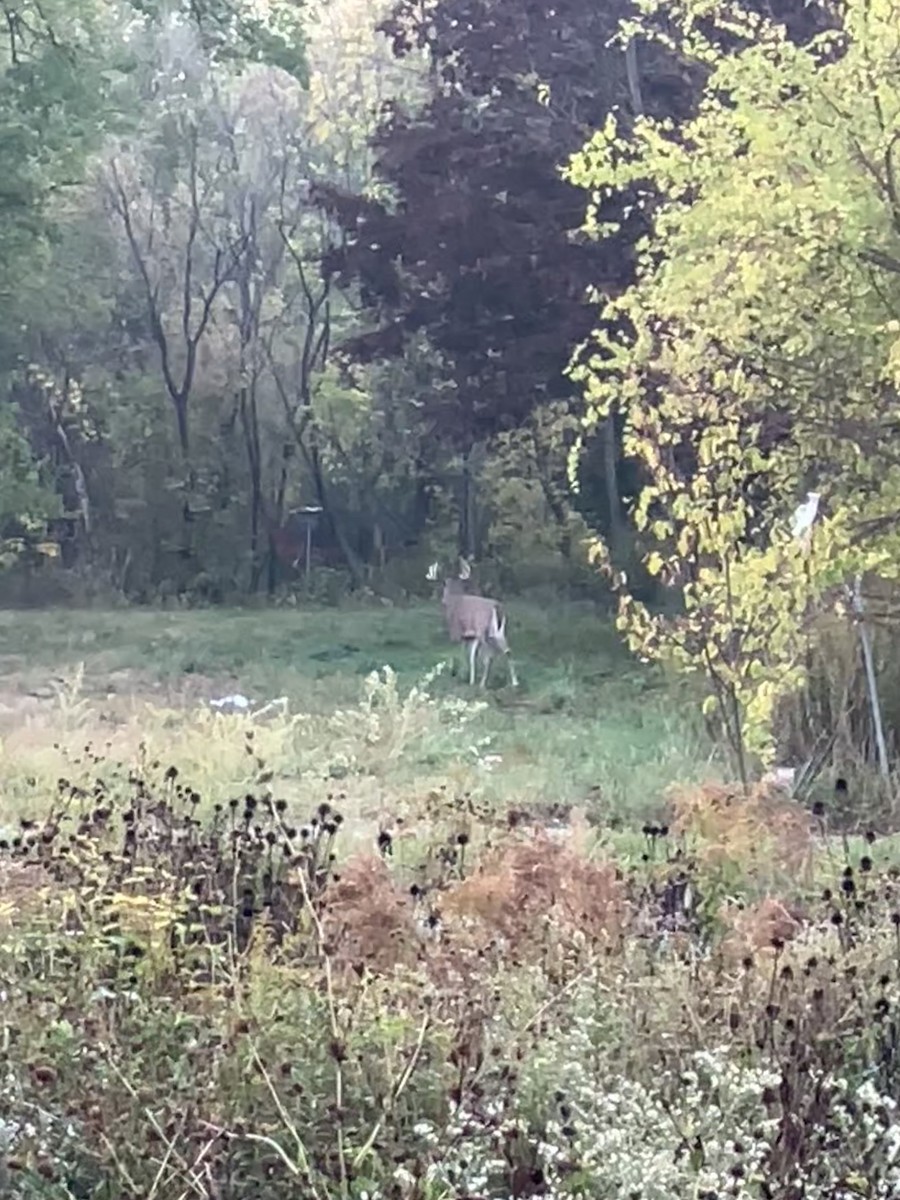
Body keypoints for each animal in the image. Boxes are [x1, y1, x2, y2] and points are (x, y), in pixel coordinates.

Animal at [426, 557, 519, 688]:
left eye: (444, 586)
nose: (442, 600)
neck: (453, 599)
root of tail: (496, 606)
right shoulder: (471, 636)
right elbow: (472, 658)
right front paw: (470, 681)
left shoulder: (457, 632)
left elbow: (459, 653)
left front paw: (458, 675)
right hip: (499, 632)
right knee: (507, 651)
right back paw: (515, 682)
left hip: (483, 630)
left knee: (488, 657)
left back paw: (482, 684)